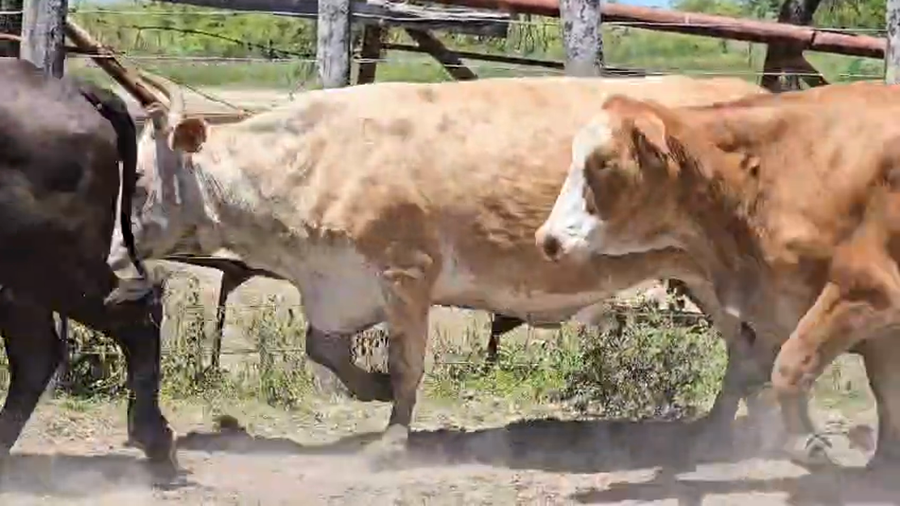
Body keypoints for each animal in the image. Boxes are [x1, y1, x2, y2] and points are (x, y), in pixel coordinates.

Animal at [107, 72, 780, 461]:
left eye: (135, 181)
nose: (110, 255)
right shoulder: (338, 284)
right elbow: (323, 348)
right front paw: (372, 392)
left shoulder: (407, 271)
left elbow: (407, 362)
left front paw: (392, 438)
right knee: (749, 348)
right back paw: (724, 429)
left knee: (758, 346)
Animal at [534, 80, 900, 470]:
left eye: (604, 161)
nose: (547, 239)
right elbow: (885, 395)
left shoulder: (867, 290)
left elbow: (789, 368)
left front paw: (809, 444)